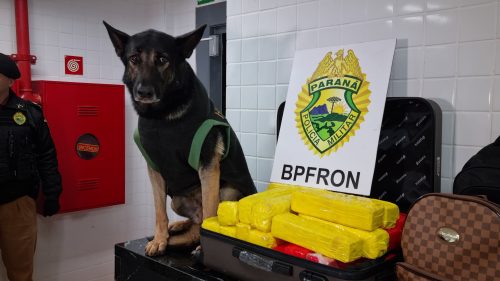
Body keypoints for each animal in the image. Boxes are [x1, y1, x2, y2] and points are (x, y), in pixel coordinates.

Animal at [103, 21, 256, 255]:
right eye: (134, 59)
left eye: (162, 60)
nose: (144, 92)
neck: (162, 117)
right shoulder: (154, 168)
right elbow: (159, 211)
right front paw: (160, 239)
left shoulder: (208, 167)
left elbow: (210, 211)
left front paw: (205, 248)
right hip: (176, 200)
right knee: (193, 220)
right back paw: (177, 225)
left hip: (228, 192)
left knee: (205, 217)